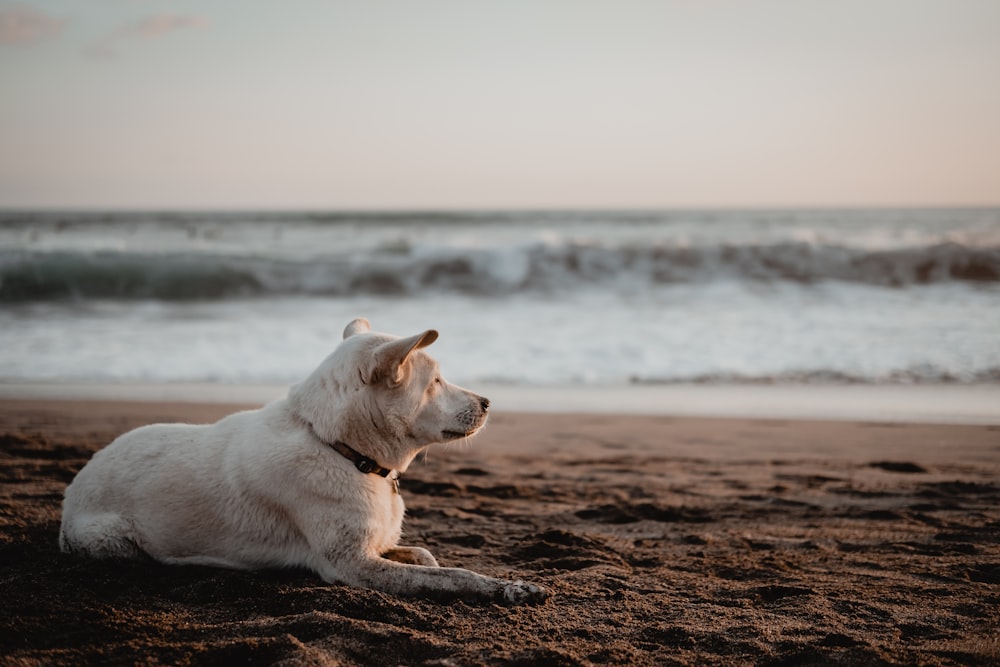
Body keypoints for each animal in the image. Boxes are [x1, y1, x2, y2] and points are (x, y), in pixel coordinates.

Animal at [60, 318, 548, 604]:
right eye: (437, 381)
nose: (487, 402)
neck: (343, 450)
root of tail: (73, 489)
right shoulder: (351, 564)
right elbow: (456, 576)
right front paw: (510, 588)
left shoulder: (370, 547)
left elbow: (426, 558)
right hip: (112, 540)